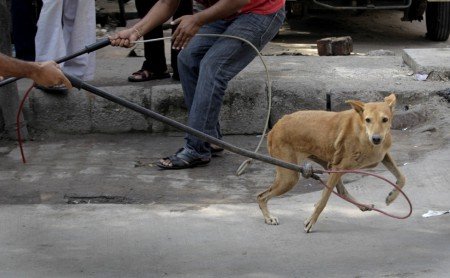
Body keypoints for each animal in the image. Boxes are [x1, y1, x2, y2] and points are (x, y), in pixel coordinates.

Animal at [258, 93, 406, 232]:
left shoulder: (384, 155)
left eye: (385, 119)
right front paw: (311, 221)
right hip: (290, 177)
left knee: (341, 191)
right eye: (368, 120)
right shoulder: (339, 168)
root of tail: (275, 126)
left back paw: (363, 206)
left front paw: (392, 197)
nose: (376, 139)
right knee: (261, 196)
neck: (363, 133)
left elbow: (402, 178)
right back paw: (268, 217)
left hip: (327, 166)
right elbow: (324, 199)